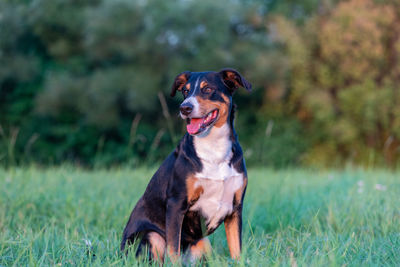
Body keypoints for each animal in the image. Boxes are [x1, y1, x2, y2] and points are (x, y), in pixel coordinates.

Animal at [120, 68, 252, 262]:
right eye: (185, 91)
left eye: (208, 89)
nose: (184, 108)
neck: (214, 149)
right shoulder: (176, 204)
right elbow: (173, 249)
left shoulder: (235, 208)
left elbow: (237, 250)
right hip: (153, 236)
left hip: (204, 243)